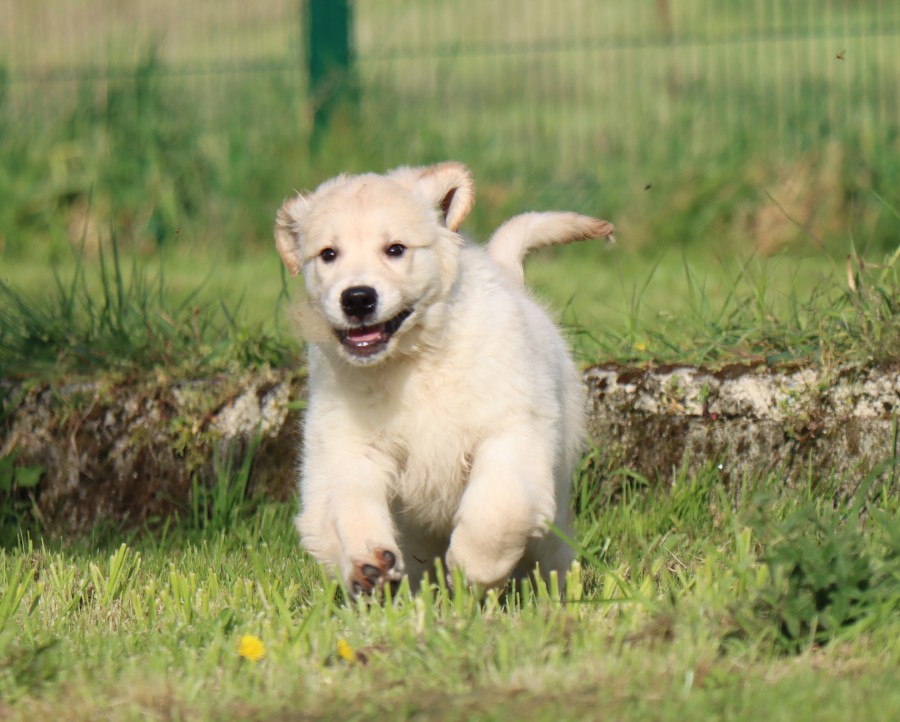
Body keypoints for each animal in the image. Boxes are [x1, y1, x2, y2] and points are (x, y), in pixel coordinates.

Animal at [274, 162, 614, 596]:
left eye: (396, 249)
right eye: (328, 254)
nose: (357, 299)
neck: (414, 361)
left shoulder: (511, 431)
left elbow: (496, 512)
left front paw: (472, 571)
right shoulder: (346, 445)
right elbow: (347, 503)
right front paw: (367, 562)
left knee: (551, 553)